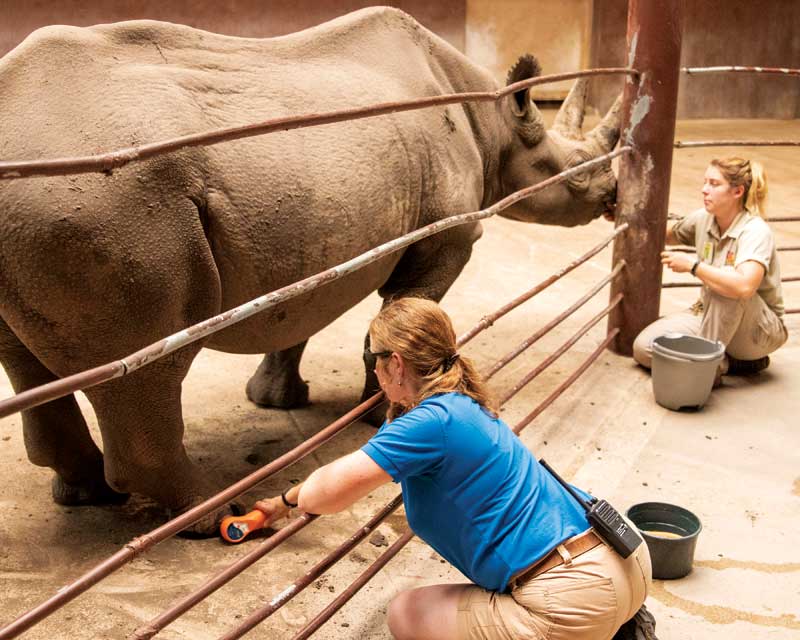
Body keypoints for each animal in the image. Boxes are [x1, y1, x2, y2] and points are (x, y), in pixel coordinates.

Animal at [0, 7, 621, 534]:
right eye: (574, 173)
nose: (613, 195)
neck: (492, 122)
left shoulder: (308, 241)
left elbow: (293, 317)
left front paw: (277, 400)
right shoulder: (446, 235)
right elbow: (402, 315)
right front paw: (382, 418)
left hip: (52, 215)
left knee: (30, 362)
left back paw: (86, 495)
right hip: (110, 209)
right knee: (151, 365)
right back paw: (213, 513)